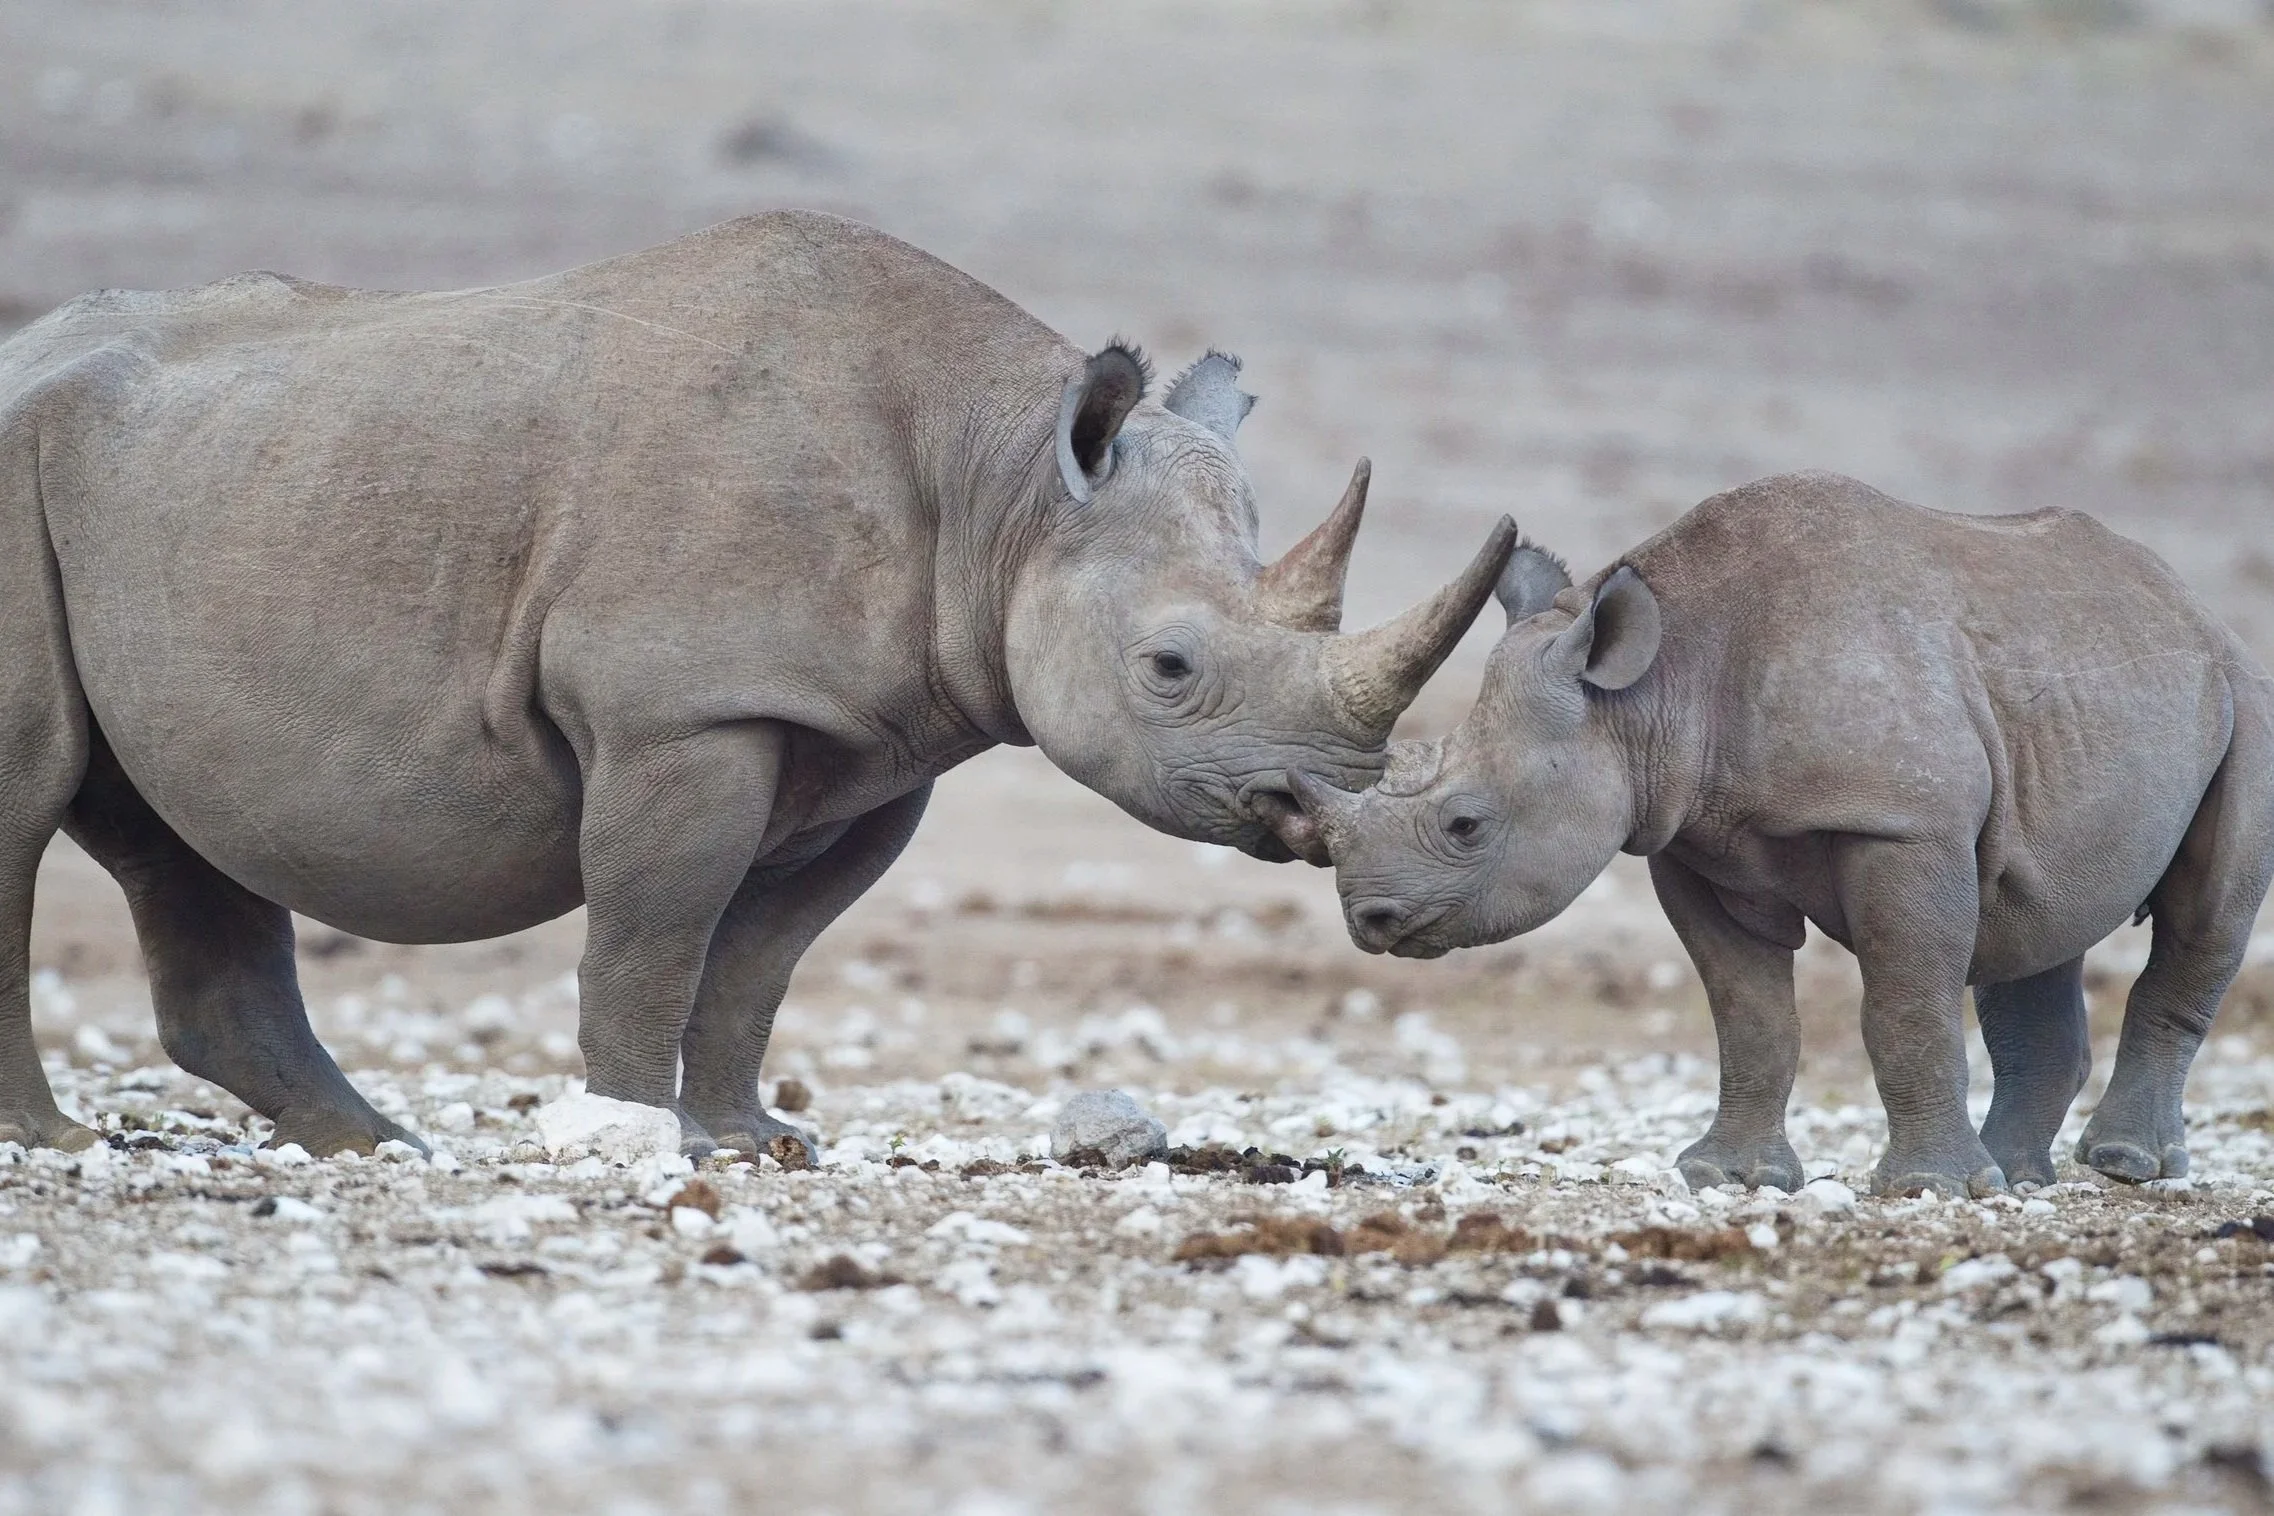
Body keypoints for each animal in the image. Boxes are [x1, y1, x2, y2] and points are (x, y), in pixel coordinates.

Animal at [0, 210, 1516, 1158]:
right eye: (1171, 667)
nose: (1316, 808)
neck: (1005, 485)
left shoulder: (874, 744)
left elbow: (759, 957)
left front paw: (751, 1139)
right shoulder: (683, 711)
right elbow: (653, 935)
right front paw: (629, 1135)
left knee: (173, 825)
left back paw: (375, 1145)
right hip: (29, 461)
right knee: (27, 798)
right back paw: (55, 1141)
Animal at [1291, 471, 2274, 1196]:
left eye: (1466, 824)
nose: (1368, 920)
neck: (1654, 689)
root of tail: (2190, 606)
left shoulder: (1903, 825)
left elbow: (1903, 1004)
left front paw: (1927, 1190)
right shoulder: (1690, 839)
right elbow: (1748, 1012)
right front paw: (1730, 1178)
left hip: (2243, 696)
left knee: (2203, 914)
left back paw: (2122, 1167)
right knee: (2034, 924)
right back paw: (2017, 1178)